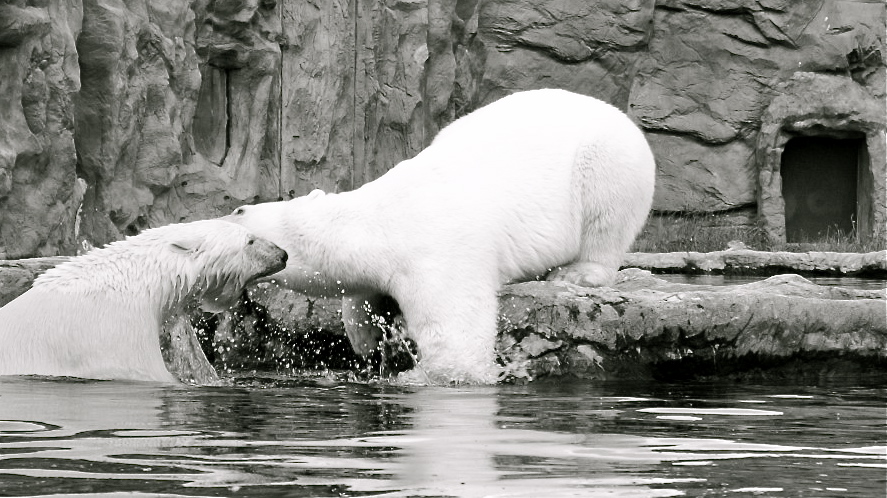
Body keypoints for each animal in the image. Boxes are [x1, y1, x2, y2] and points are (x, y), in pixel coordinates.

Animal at [225, 89, 656, 386]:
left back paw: (577, 272)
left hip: (607, 158)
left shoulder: (439, 253)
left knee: (607, 214)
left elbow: (454, 332)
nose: (231, 209)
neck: (380, 218)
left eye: (239, 214)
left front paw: (441, 374)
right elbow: (361, 295)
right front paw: (365, 340)